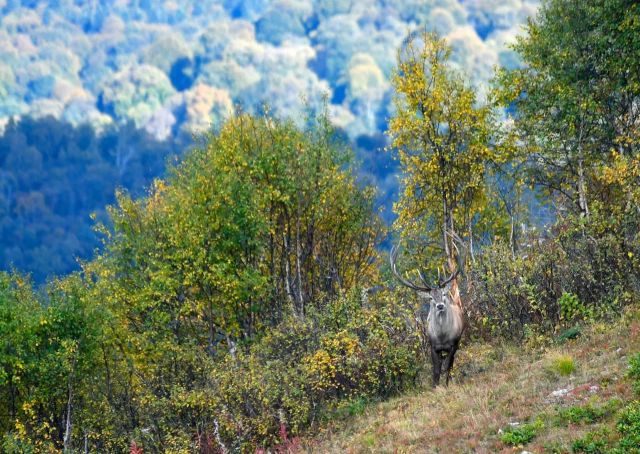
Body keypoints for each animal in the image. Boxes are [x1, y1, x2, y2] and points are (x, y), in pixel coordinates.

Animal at [390, 243, 464, 388]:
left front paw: (445, 385)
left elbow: (447, 366)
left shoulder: (454, 343)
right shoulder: (432, 346)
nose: (440, 305)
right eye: (430, 298)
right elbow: (436, 370)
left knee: (450, 364)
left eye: (444, 294)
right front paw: (435, 387)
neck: (442, 337)